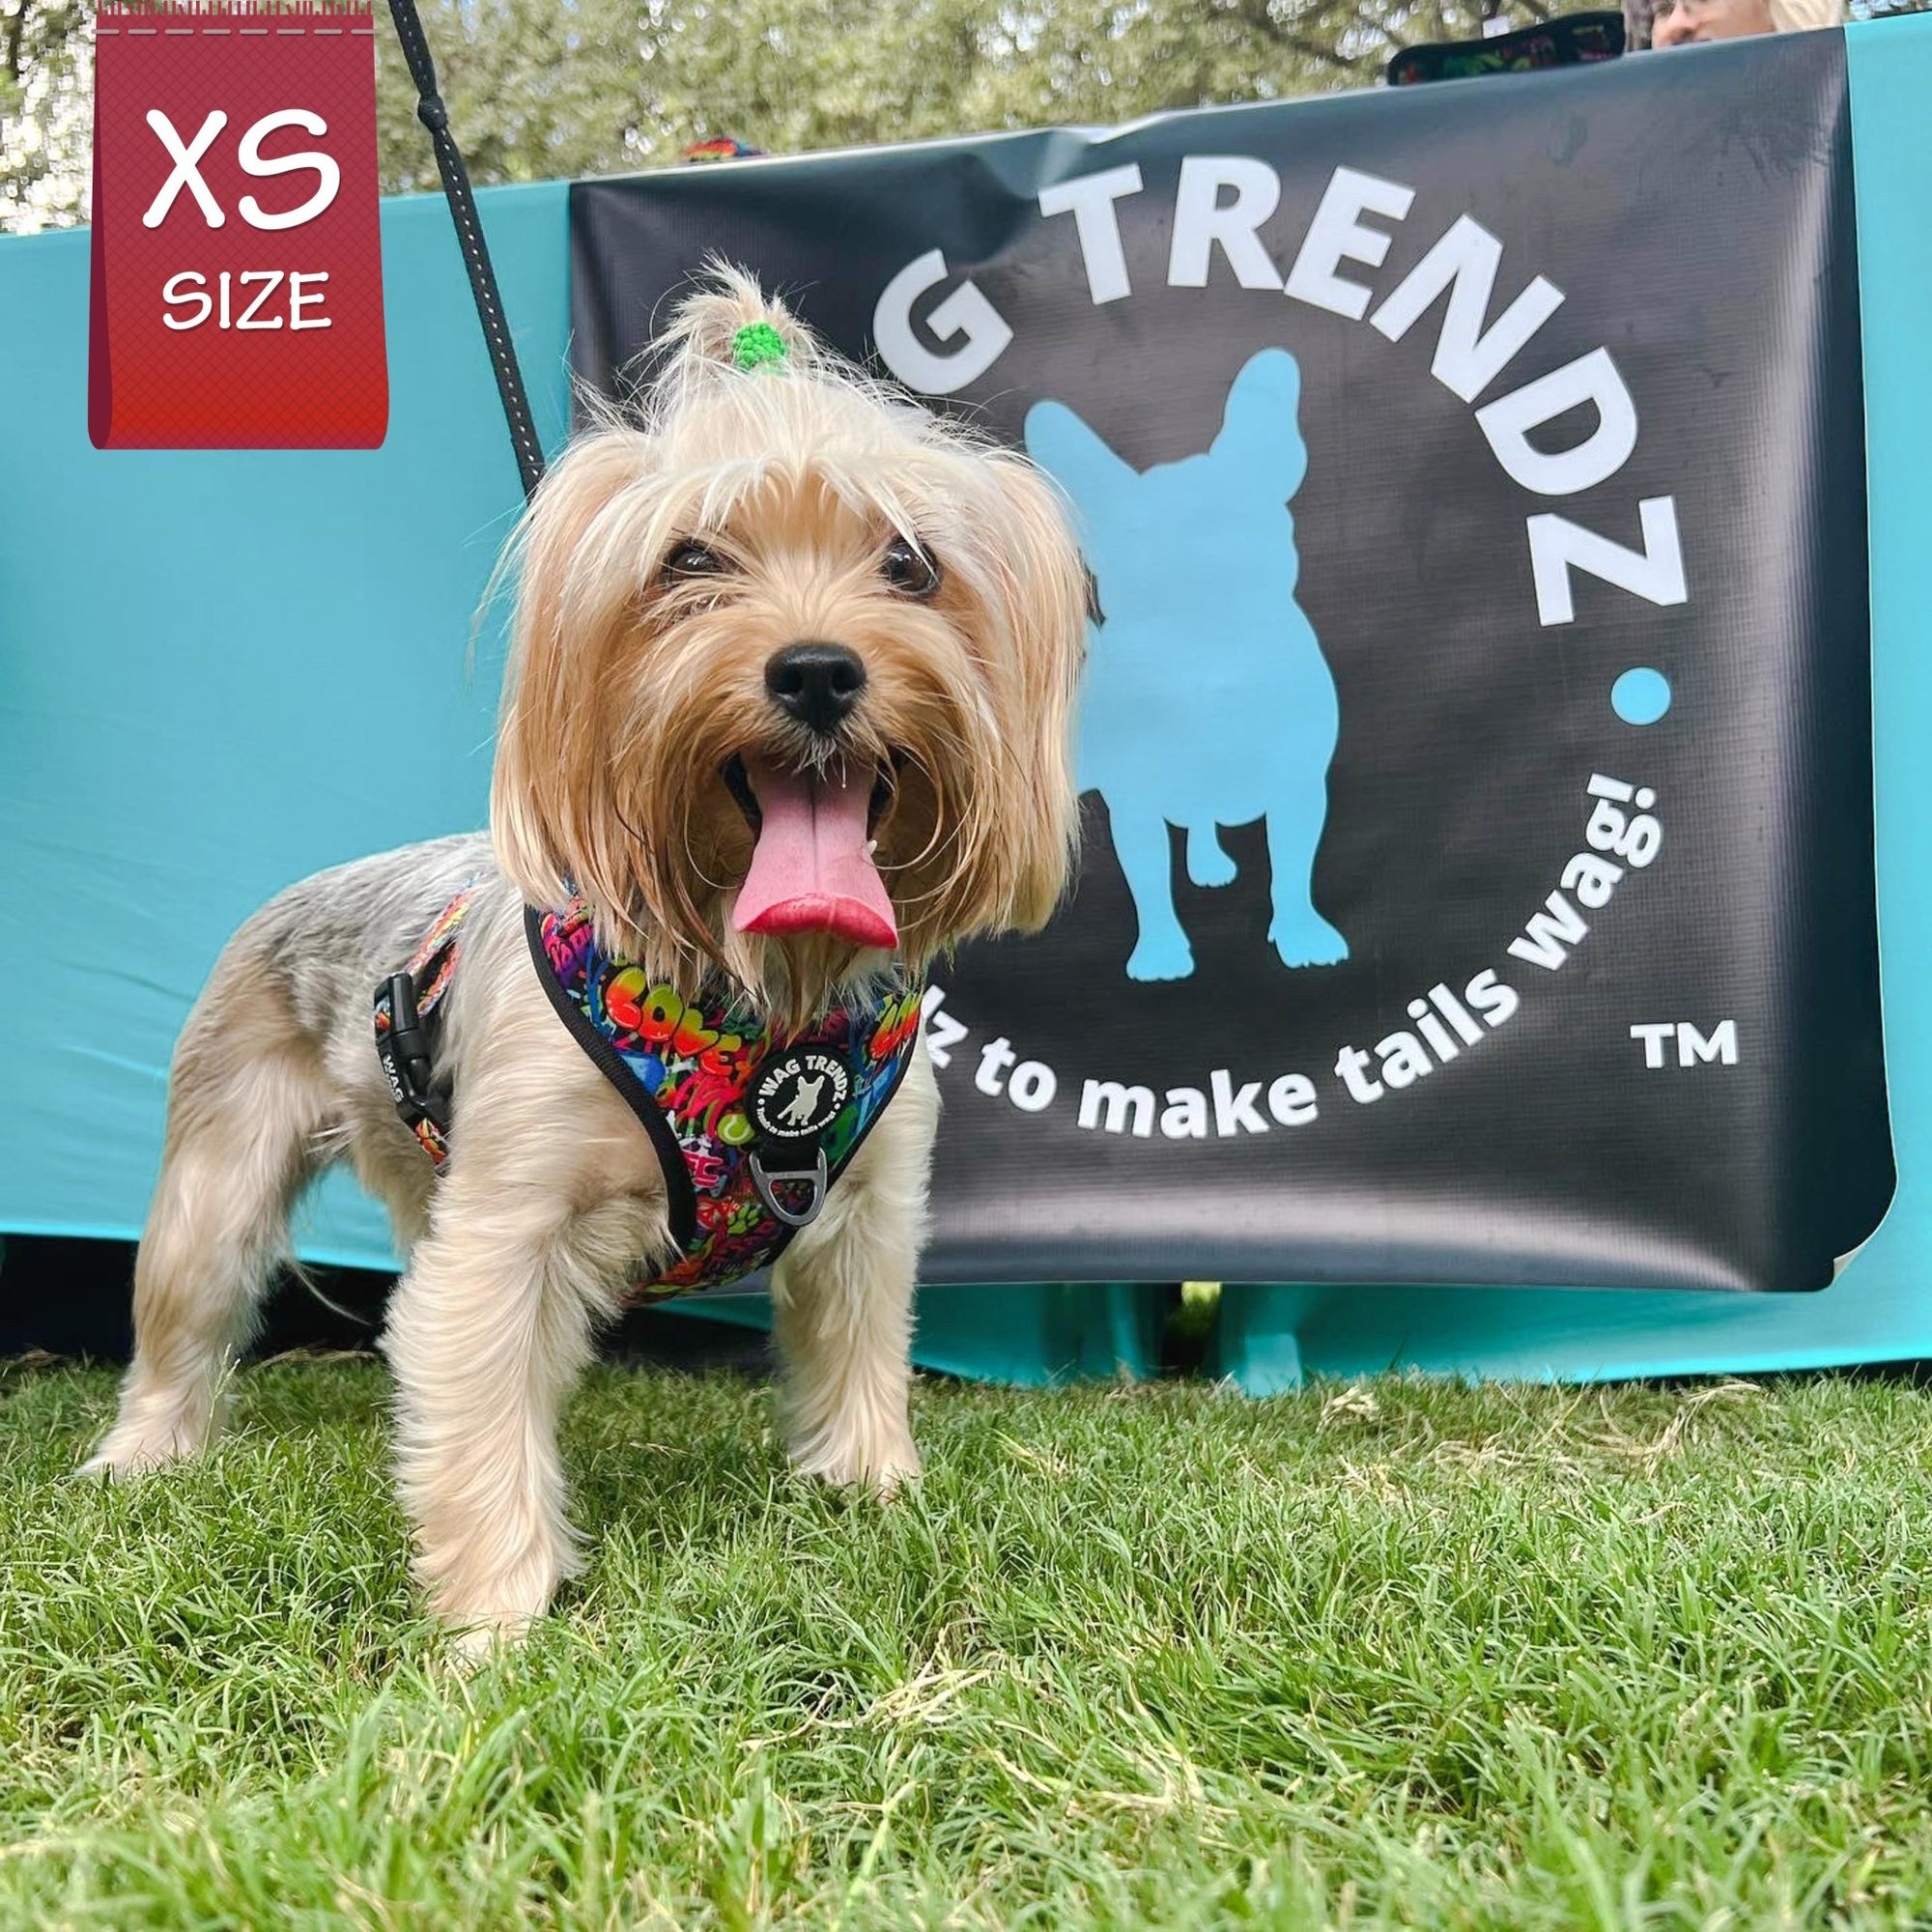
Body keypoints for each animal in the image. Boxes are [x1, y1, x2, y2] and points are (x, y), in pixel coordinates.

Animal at [87, 272, 1090, 1638]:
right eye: (688, 560)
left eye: (910, 563)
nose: (817, 669)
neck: (749, 999)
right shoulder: (506, 1219)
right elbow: (477, 1403)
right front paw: (493, 1621)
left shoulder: (870, 1207)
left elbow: (858, 1351)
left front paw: (871, 1489)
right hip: (218, 1163)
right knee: (184, 1308)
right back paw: (144, 1452)